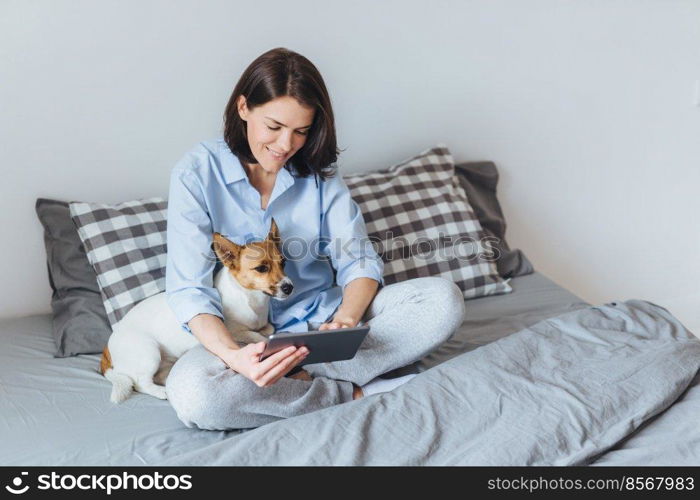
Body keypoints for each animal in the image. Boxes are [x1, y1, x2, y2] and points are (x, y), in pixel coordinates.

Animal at [100, 219, 292, 402]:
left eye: (283, 263)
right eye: (261, 268)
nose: (289, 287)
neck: (250, 298)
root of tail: (108, 347)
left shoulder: (263, 324)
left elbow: (268, 328)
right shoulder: (233, 331)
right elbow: (256, 336)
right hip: (148, 352)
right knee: (140, 383)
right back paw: (161, 392)